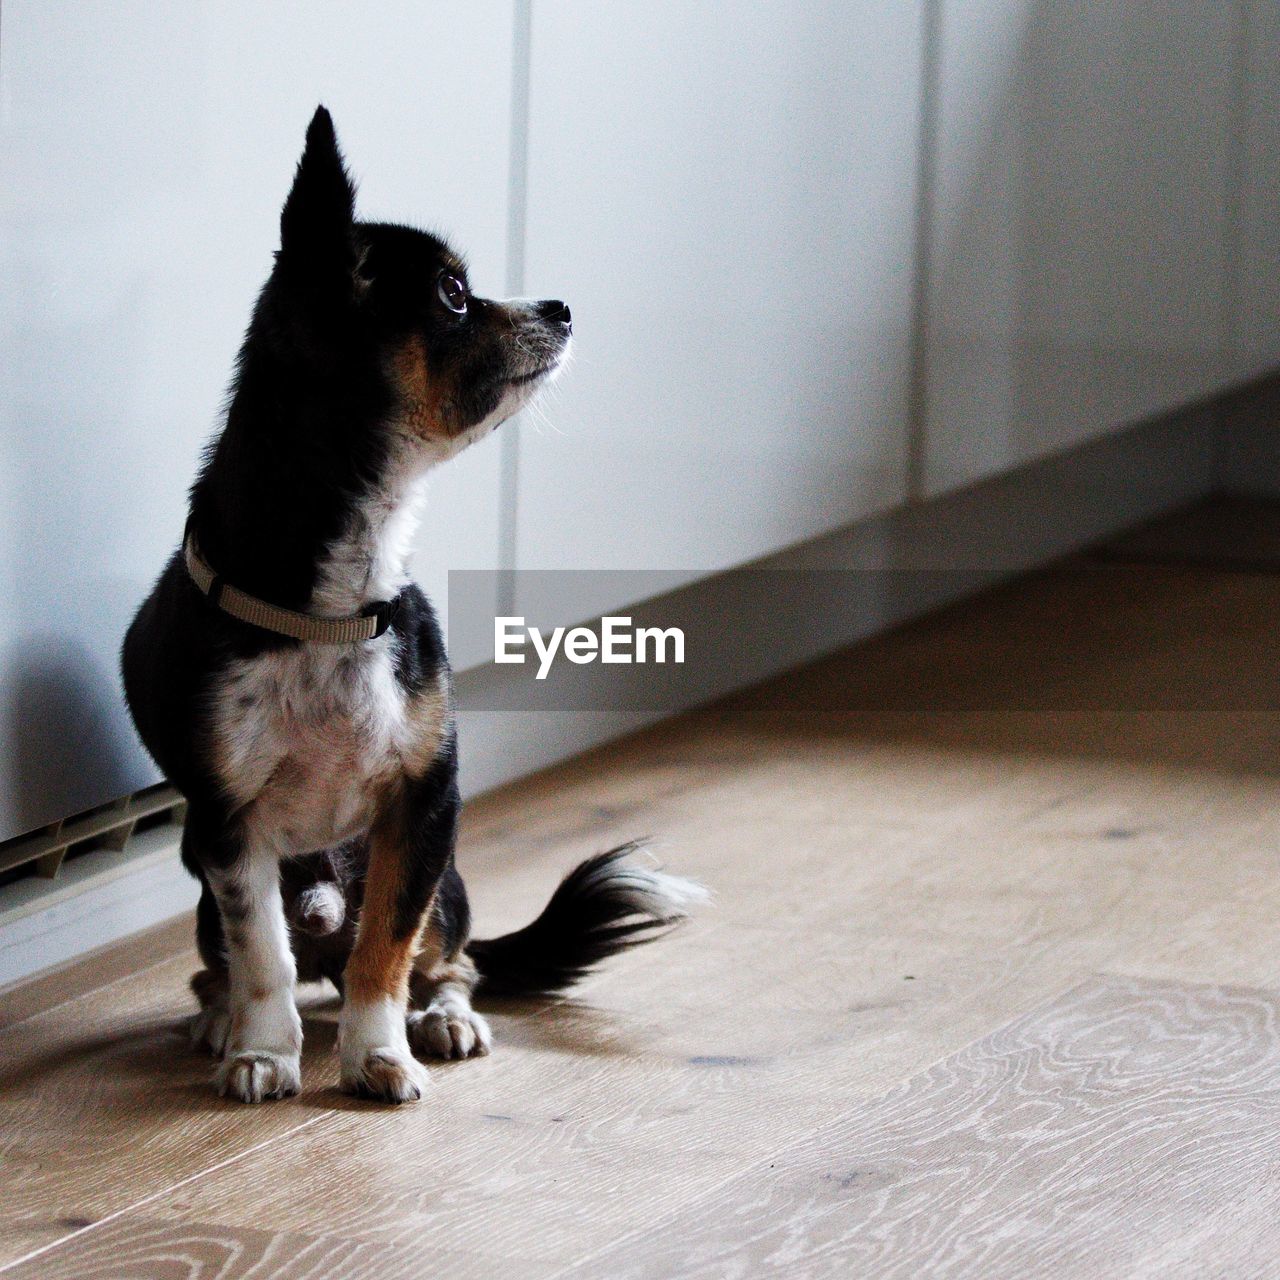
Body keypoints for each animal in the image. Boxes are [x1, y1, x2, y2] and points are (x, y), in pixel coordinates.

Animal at [120, 110, 701, 1105]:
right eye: (454, 295)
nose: (561, 307)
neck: (336, 597)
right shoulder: (228, 831)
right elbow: (263, 954)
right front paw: (264, 1052)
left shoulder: (425, 811)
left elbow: (384, 951)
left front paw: (376, 1053)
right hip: (199, 887)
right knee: (228, 962)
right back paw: (218, 1018)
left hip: (454, 887)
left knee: (451, 961)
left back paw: (445, 1019)